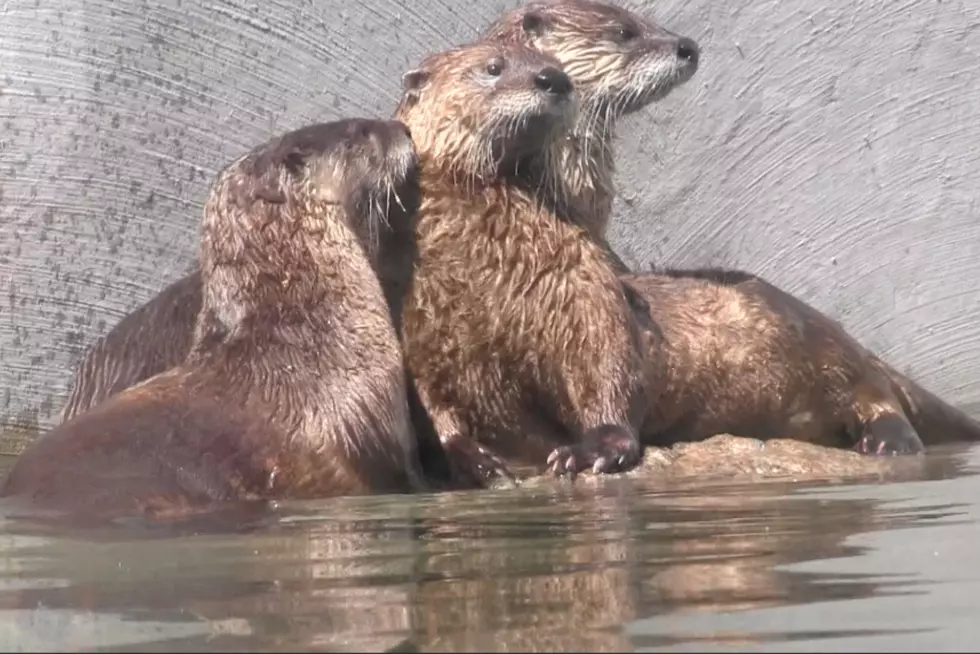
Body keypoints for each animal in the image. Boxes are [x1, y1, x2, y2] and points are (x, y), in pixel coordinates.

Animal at [390, 41, 652, 482]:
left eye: (559, 65)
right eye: (493, 67)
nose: (553, 78)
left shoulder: (577, 272)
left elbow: (603, 348)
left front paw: (596, 448)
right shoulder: (410, 309)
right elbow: (431, 395)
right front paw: (474, 456)